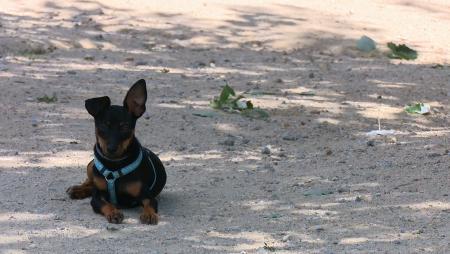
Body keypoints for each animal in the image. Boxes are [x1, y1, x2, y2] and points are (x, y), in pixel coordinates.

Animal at [66, 79, 166, 224]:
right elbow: (105, 204)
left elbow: (149, 203)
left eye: (124, 127)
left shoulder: (147, 195)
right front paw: (114, 212)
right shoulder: (97, 198)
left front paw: (149, 214)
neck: (114, 164)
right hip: (91, 165)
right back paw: (77, 189)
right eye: (103, 126)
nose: (112, 148)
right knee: (90, 182)